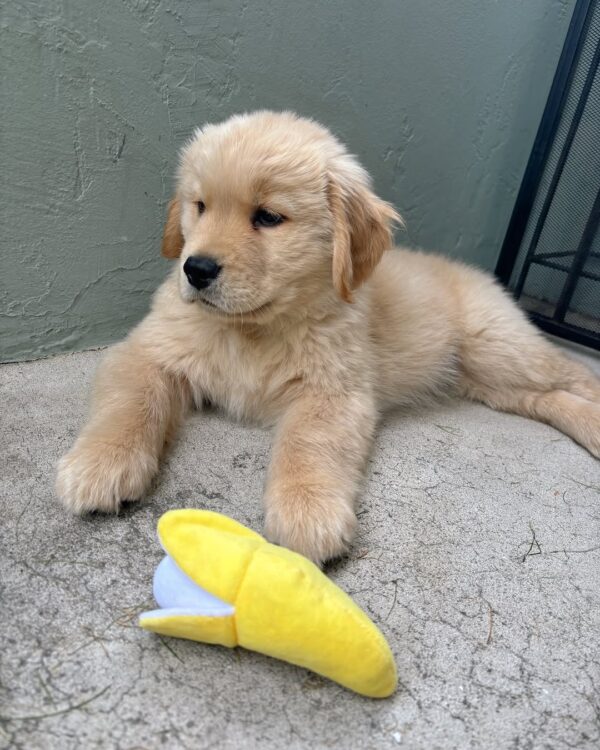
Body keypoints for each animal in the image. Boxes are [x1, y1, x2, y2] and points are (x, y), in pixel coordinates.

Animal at [56, 108, 600, 560]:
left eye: (268, 217)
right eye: (200, 206)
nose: (196, 269)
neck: (253, 329)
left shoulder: (336, 390)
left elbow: (309, 442)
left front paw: (307, 510)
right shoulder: (147, 351)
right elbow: (131, 401)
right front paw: (101, 463)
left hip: (499, 349)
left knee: (572, 376)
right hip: (488, 381)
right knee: (544, 399)